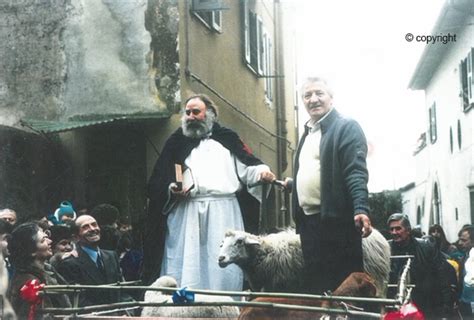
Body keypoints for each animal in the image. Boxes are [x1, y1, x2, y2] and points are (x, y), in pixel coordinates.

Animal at [218, 228, 388, 298]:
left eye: (239, 242)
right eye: (222, 243)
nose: (220, 259)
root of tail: (380, 238)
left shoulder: (281, 287)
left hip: (373, 276)